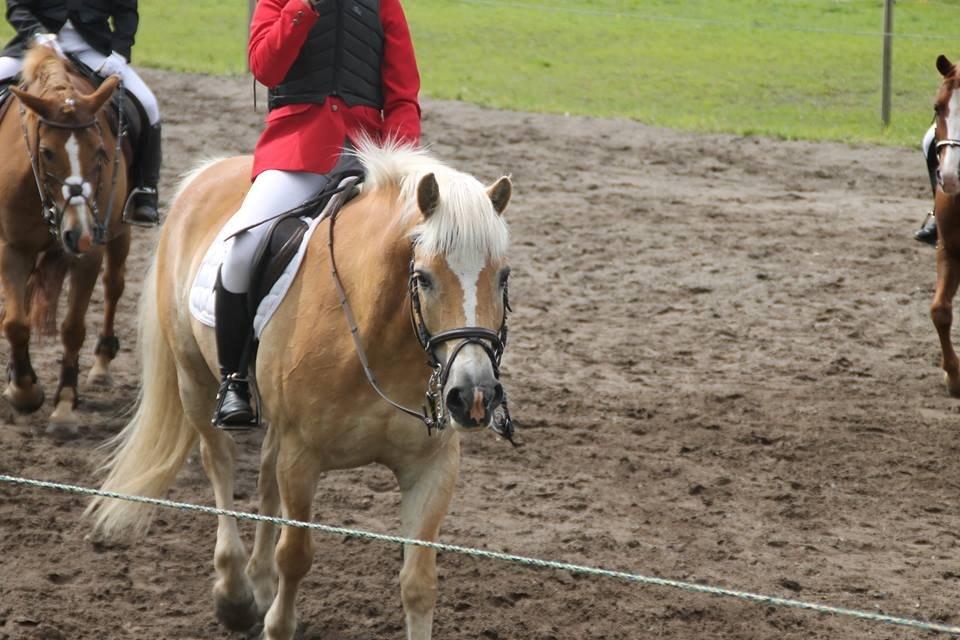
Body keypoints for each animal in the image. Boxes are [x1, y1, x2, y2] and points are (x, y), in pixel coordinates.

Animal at [0, 47, 131, 432]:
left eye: (100, 151)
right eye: (46, 152)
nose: (79, 233)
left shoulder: (89, 254)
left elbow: (73, 328)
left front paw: (64, 406)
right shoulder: (13, 248)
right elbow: (15, 323)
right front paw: (24, 391)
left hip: (119, 233)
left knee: (114, 285)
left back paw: (101, 364)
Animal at [86, 141, 512, 640]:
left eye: (502, 277)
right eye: (423, 277)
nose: (474, 395)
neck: (378, 341)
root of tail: (208, 172)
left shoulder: (432, 466)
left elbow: (419, 582)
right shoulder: (302, 456)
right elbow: (295, 555)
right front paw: (275, 619)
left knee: (264, 476)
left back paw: (257, 583)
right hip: (194, 380)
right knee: (220, 462)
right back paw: (235, 594)